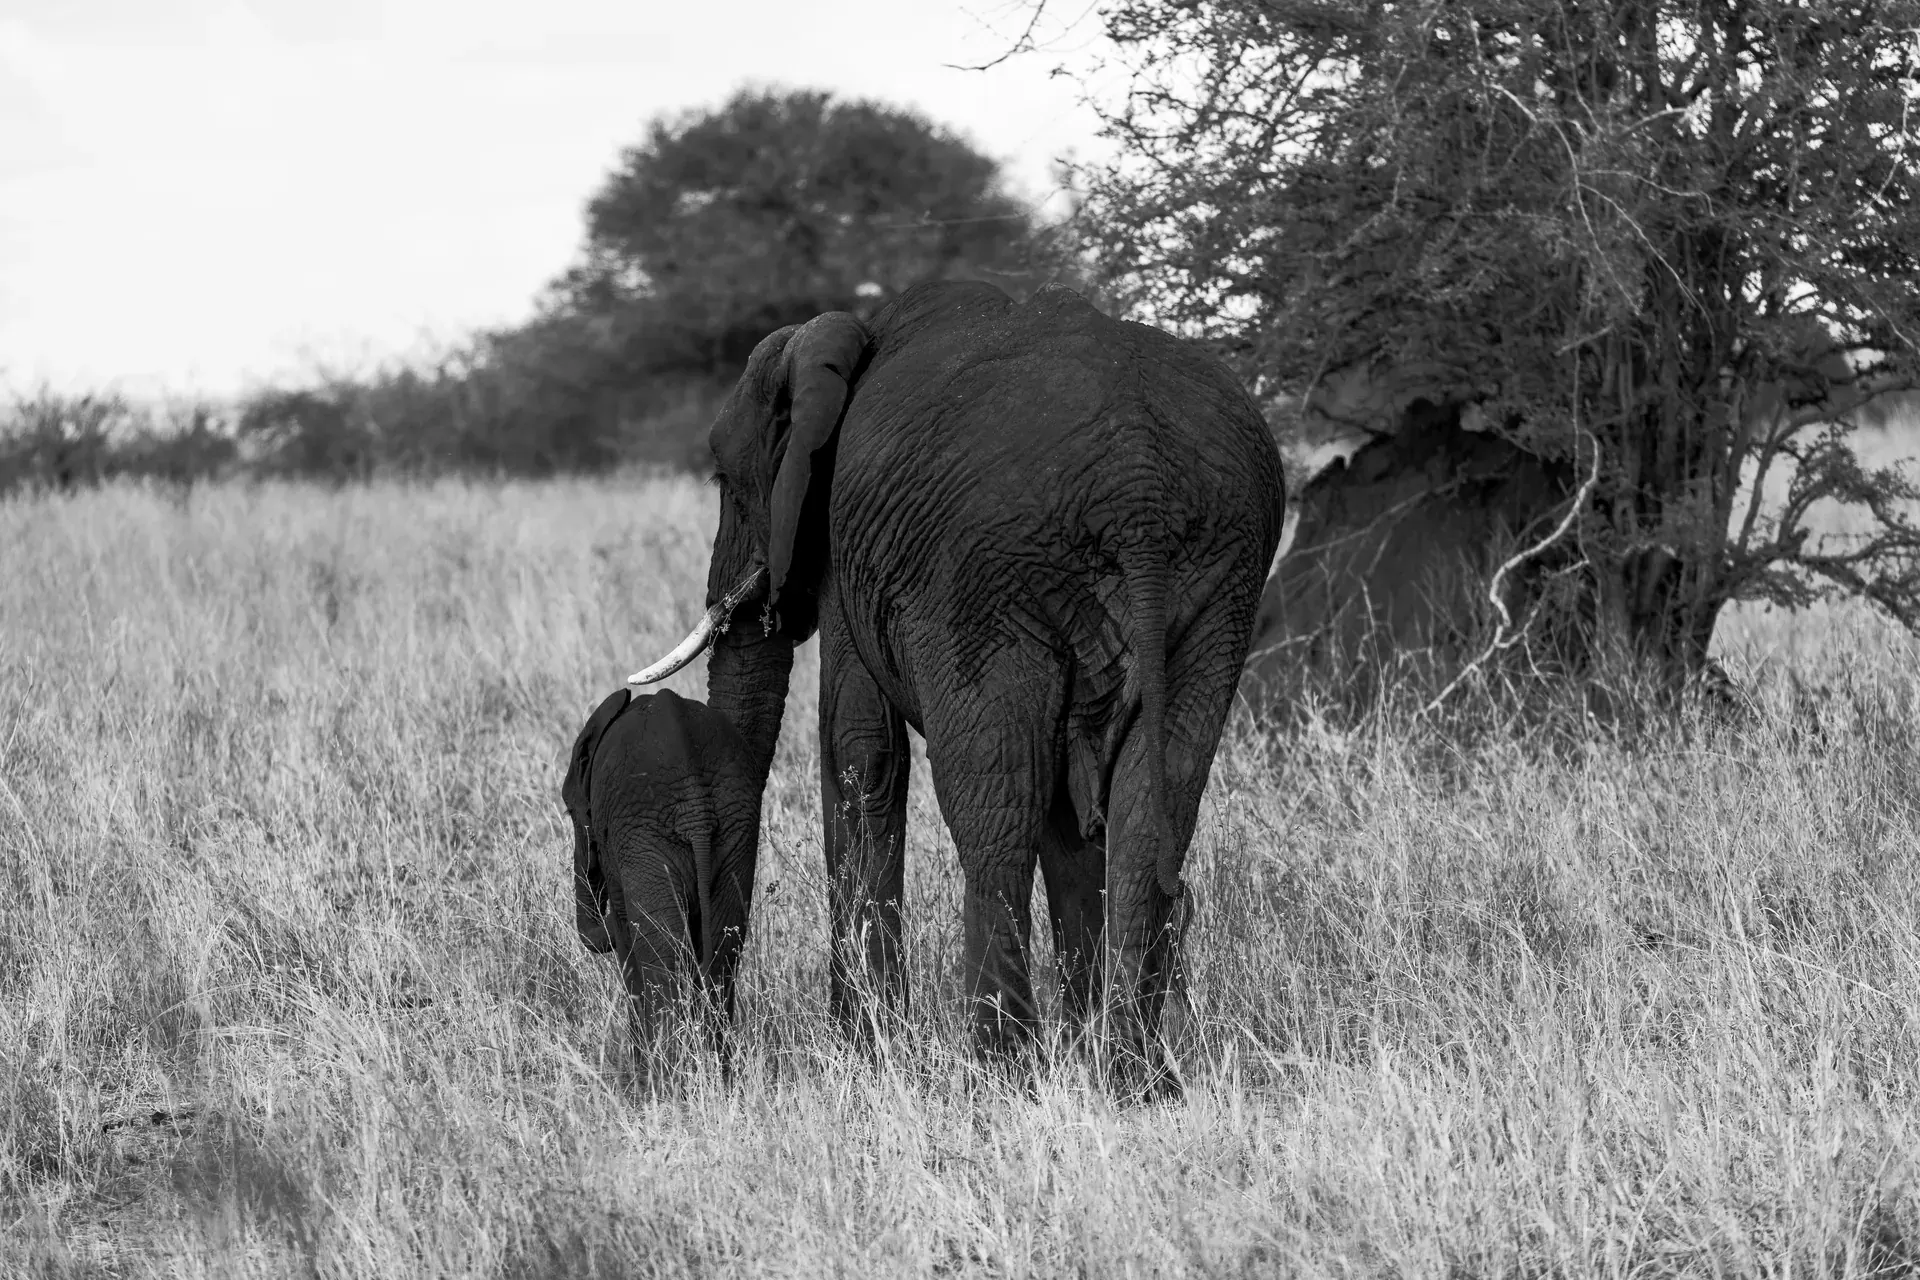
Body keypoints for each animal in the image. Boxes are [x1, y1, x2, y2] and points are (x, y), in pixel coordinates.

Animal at [562, 686, 763, 1076]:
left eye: (569, 810)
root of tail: (697, 807)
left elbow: (630, 944)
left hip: (647, 838)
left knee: (662, 954)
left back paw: (664, 1080)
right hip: (737, 828)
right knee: (723, 952)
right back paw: (717, 1076)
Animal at [629, 280, 1286, 1089]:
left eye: (724, 481)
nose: (716, 1044)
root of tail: (1139, 491)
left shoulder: (848, 548)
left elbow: (860, 752)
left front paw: (868, 1057)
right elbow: (1071, 807)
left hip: (983, 586)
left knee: (995, 809)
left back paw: (1003, 1072)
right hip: (1220, 582)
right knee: (1147, 799)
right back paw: (1132, 1078)